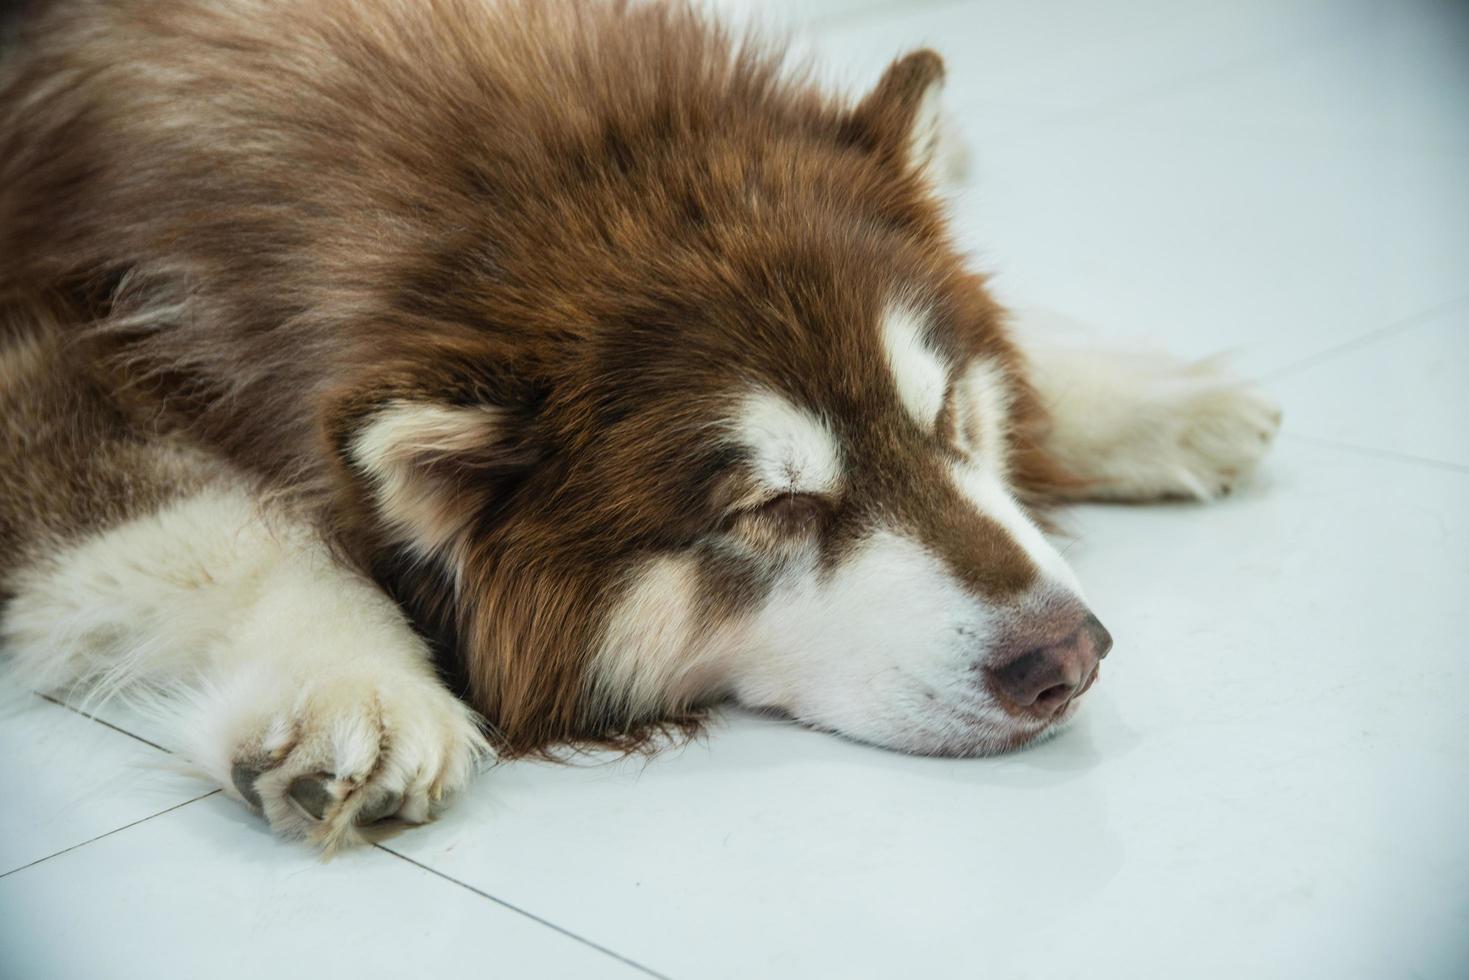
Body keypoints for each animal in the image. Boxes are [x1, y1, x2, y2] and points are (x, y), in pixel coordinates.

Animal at [0, 0, 1275, 846]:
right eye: (774, 506)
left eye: (948, 416)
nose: (1068, 656)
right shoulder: (39, 343)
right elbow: (228, 524)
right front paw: (354, 682)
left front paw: (1137, 393)